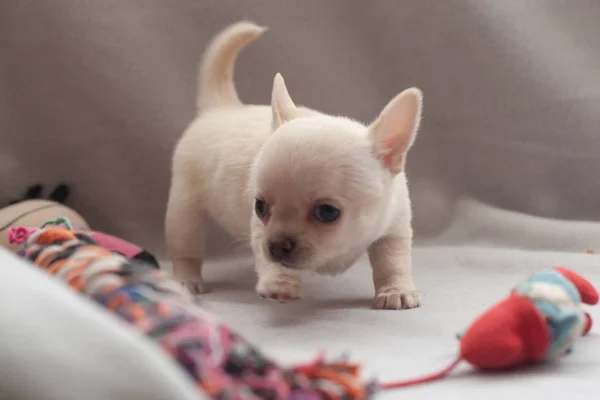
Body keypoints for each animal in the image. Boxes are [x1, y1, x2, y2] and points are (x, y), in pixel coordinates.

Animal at [166, 21, 424, 310]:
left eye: (327, 212)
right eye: (259, 207)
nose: (277, 245)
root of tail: (221, 107)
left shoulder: (394, 227)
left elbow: (392, 261)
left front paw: (396, 290)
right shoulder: (260, 234)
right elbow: (273, 262)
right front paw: (279, 284)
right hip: (184, 213)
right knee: (185, 249)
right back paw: (186, 279)